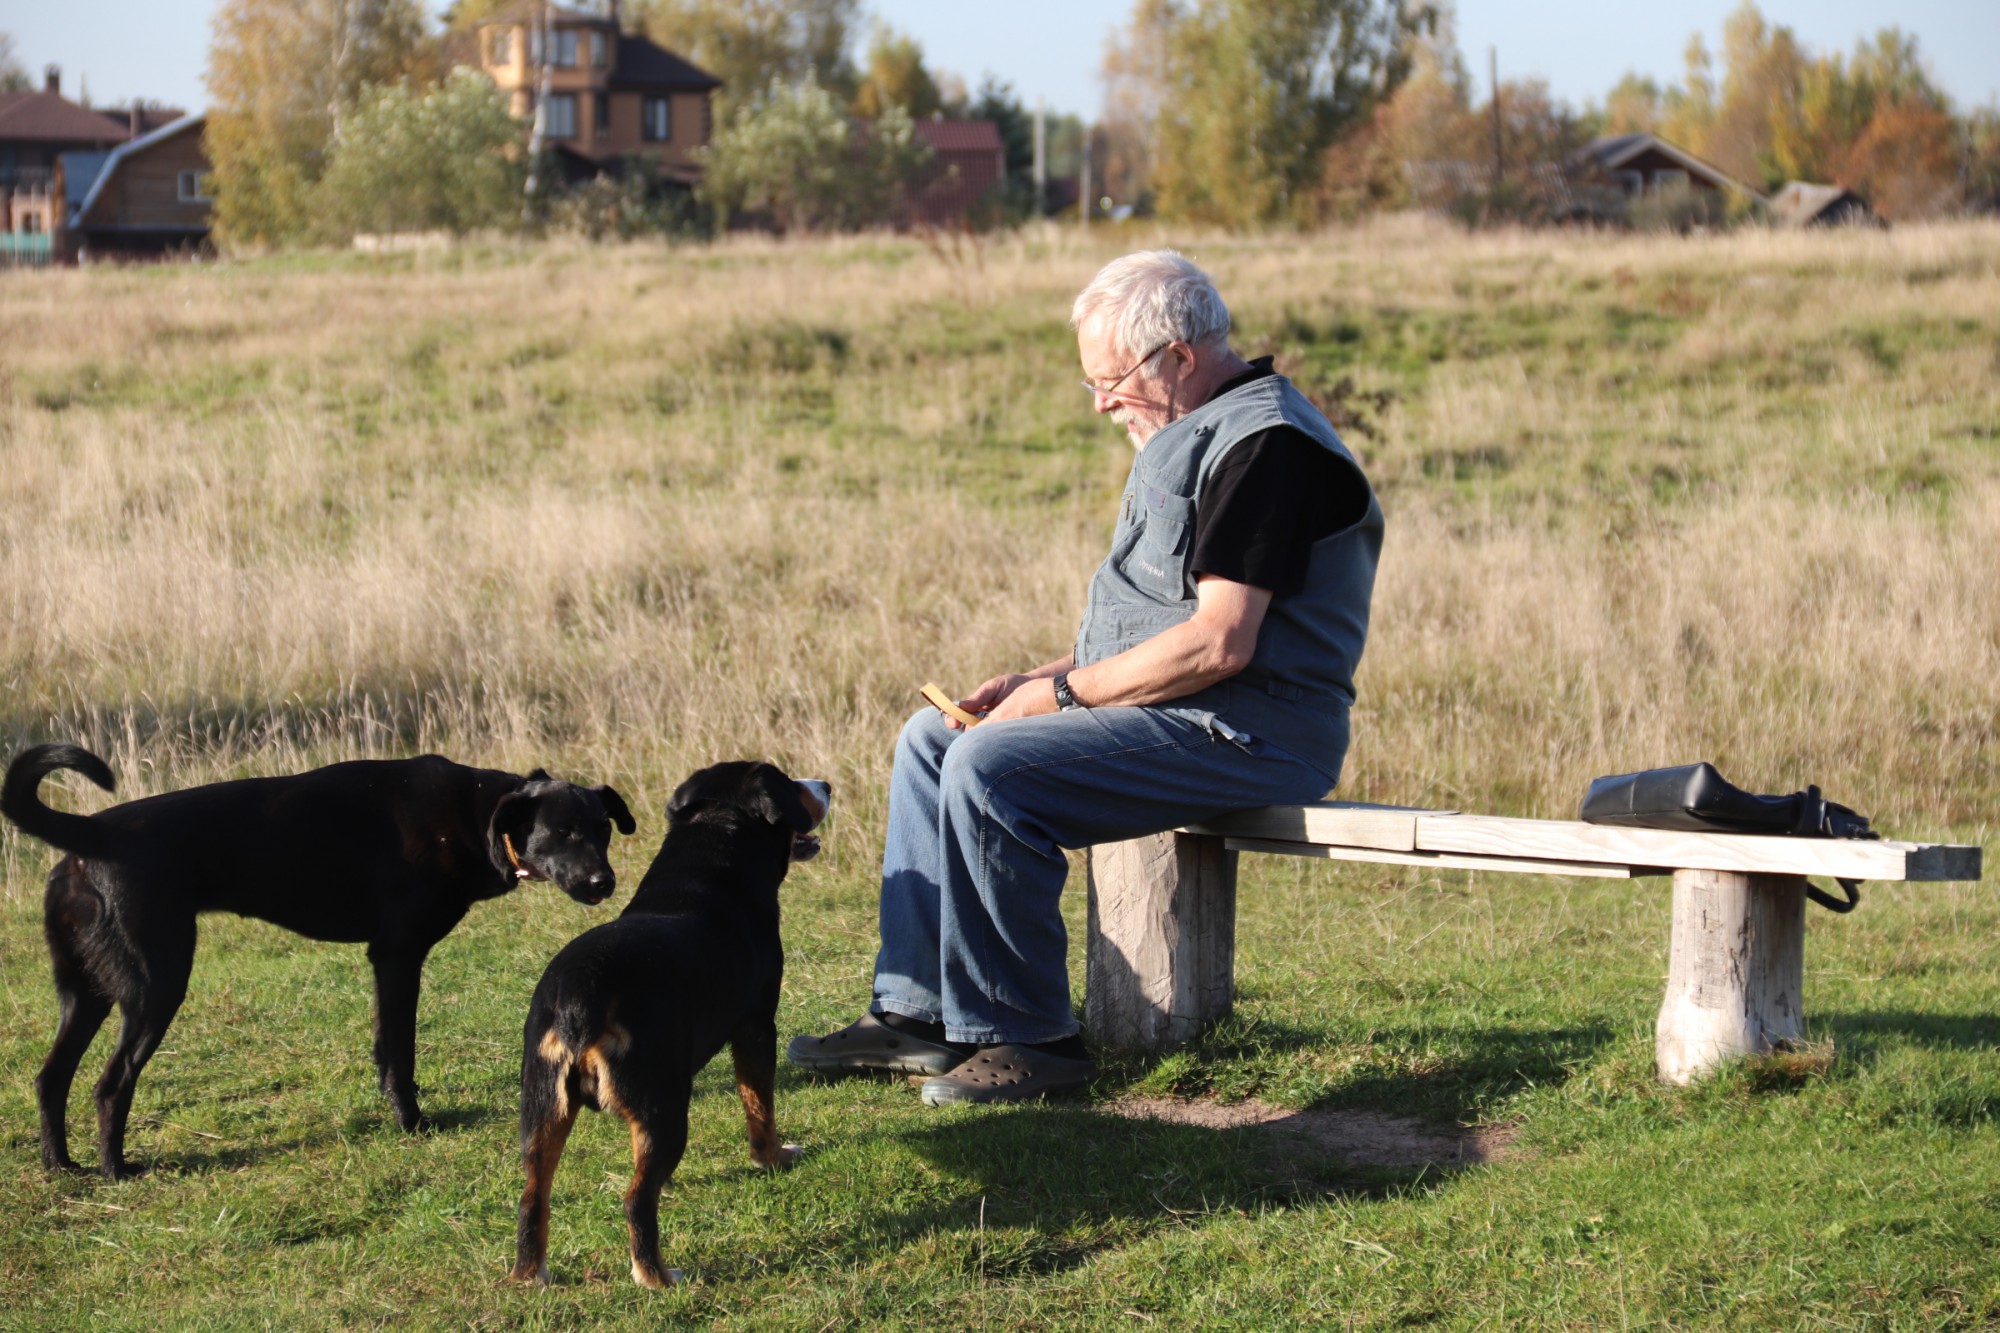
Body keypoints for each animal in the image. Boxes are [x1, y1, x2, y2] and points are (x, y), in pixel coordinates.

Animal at [0, 740, 636, 1176]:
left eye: (603, 830)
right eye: (562, 832)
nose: (604, 883)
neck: (474, 816)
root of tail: (89, 837)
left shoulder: (386, 962)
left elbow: (384, 1048)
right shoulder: (399, 955)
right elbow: (401, 1050)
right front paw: (411, 1123)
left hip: (86, 993)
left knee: (50, 1077)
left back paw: (63, 1166)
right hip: (155, 986)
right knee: (111, 1083)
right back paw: (116, 1169)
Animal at [516, 756, 836, 1288]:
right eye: (791, 784)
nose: (826, 783)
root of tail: (583, 990)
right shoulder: (755, 1025)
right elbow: (760, 1105)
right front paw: (772, 1158)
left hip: (543, 1108)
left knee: (532, 1195)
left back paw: (529, 1273)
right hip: (663, 1104)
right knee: (635, 1200)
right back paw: (657, 1277)